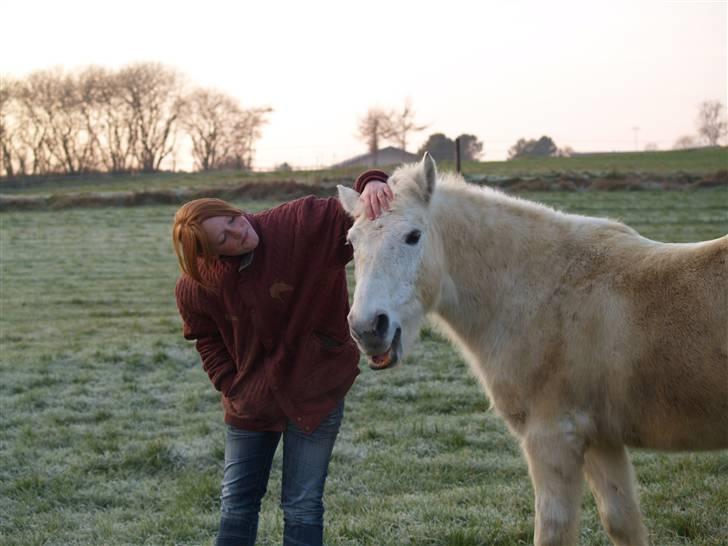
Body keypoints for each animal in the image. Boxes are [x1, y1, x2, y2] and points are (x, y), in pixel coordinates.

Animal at [338, 154, 724, 544]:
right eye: (352, 243)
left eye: (413, 236)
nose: (368, 328)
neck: (542, 291)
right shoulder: (601, 440)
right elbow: (623, 521)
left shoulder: (552, 439)